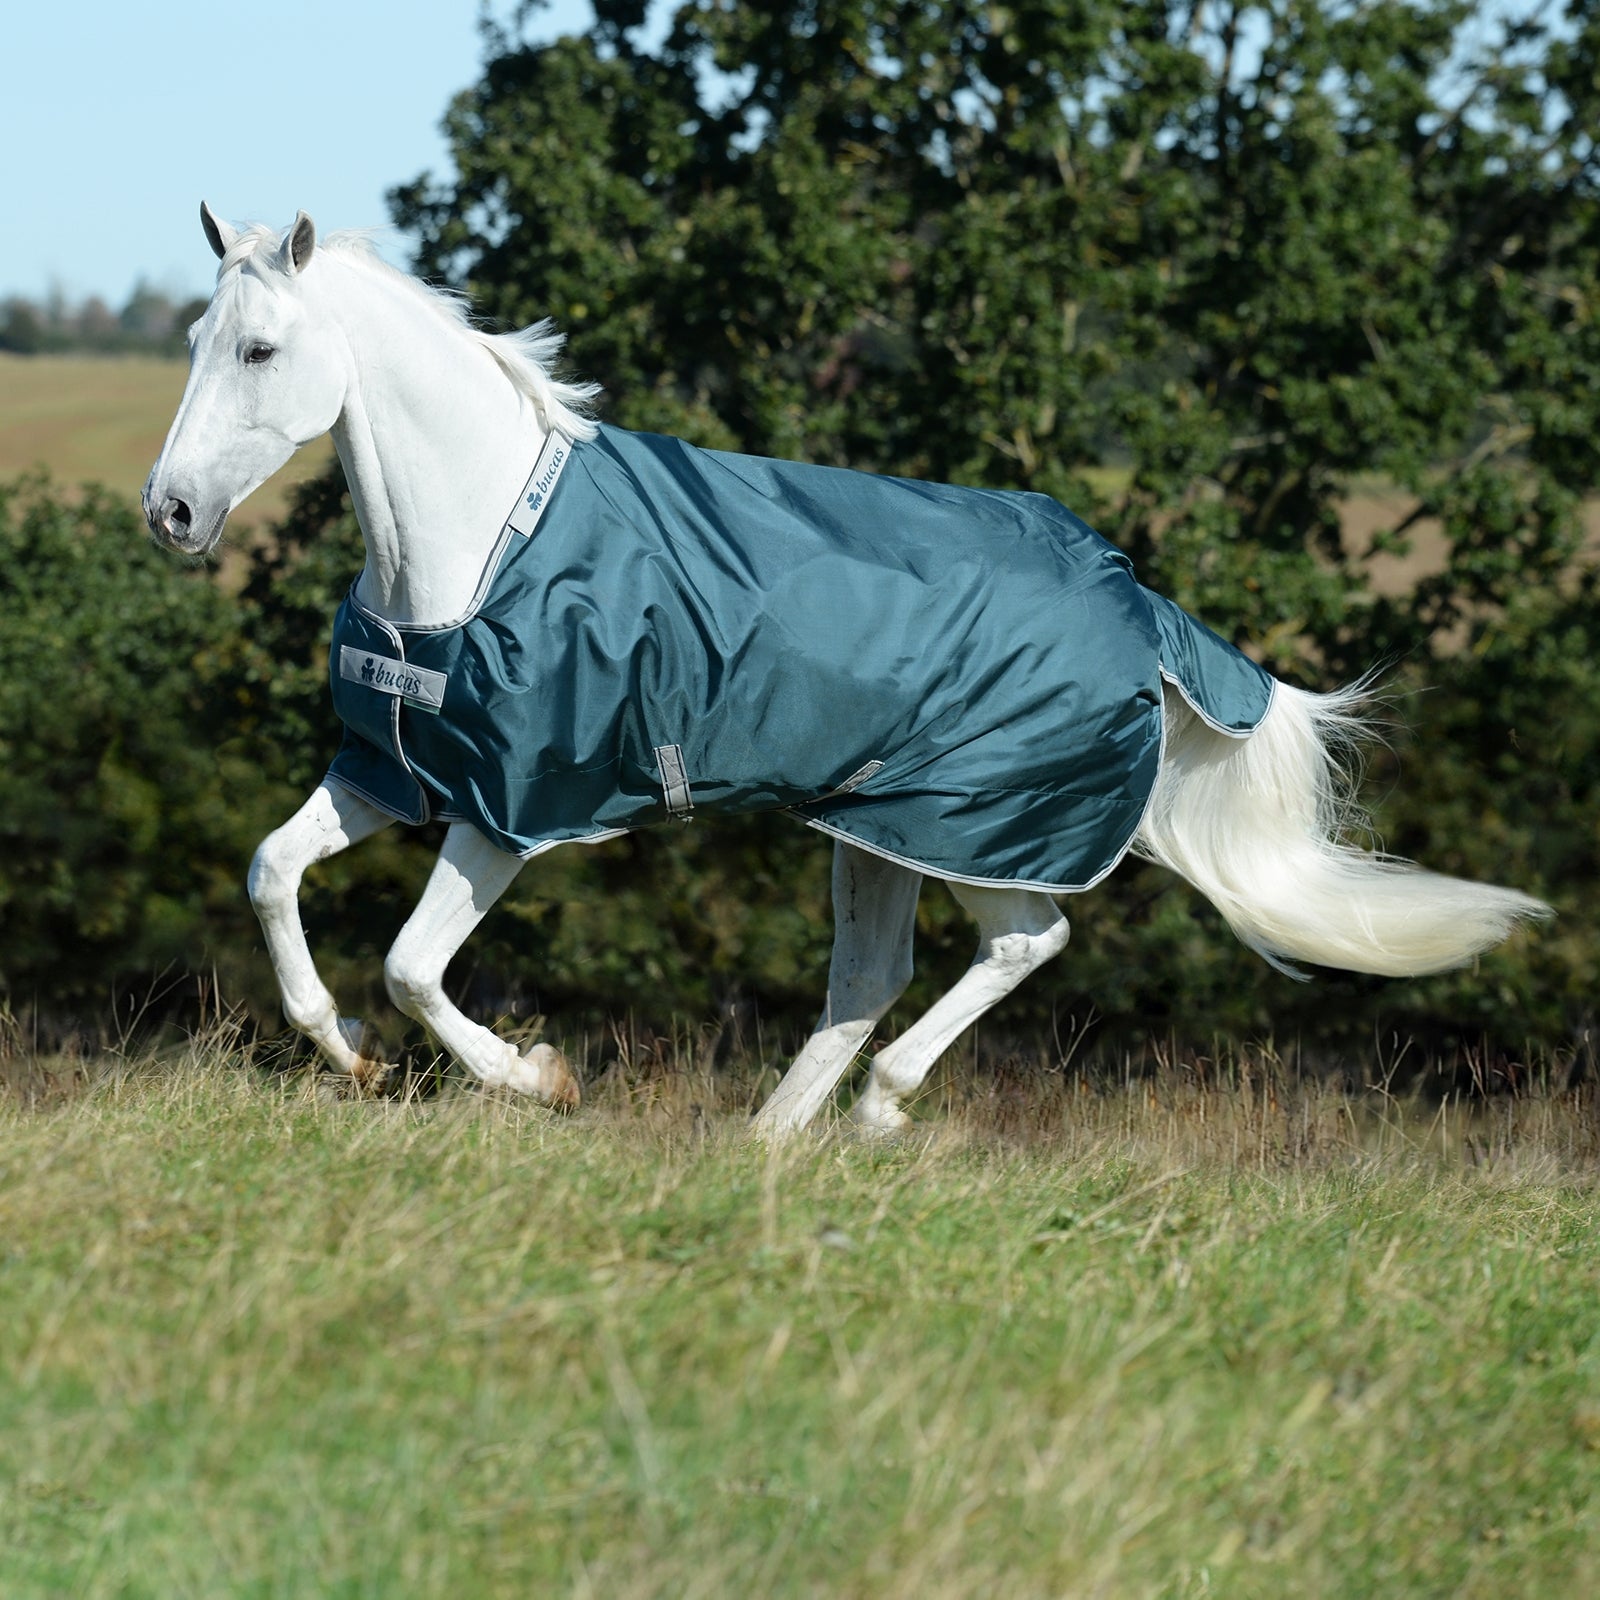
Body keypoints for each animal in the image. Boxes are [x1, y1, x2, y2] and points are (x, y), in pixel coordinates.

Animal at [144, 205, 1548, 1133]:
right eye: (198, 333)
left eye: (260, 351)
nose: (171, 514)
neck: (481, 538)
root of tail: (1134, 602)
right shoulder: (396, 771)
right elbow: (271, 873)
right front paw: (349, 1055)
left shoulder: (513, 811)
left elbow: (412, 966)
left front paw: (537, 1075)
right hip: (877, 830)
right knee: (870, 976)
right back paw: (768, 1147)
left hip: (979, 828)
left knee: (1024, 942)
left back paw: (876, 1111)